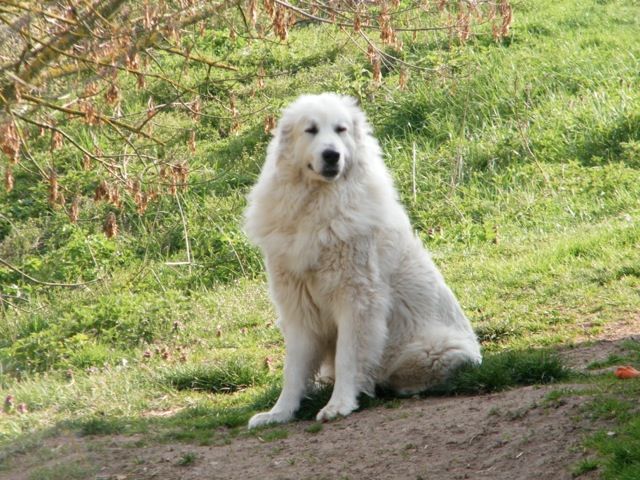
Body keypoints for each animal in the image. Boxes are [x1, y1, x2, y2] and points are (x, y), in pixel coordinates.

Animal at [245, 94, 480, 428]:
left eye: (340, 129)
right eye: (311, 130)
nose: (332, 155)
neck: (318, 203)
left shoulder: (357, 299)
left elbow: (348, 357)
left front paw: (339, 404)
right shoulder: (298, 305)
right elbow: (294, 369)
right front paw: (280, 412)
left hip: (433, 348)